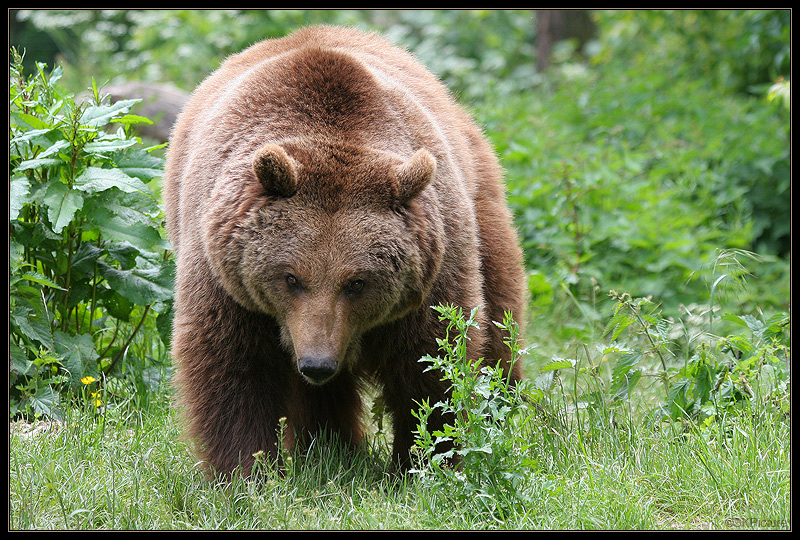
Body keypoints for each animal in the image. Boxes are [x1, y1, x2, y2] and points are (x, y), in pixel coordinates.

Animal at [162, 25, 524, 476]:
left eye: (357, 282)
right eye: (290, 277)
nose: (317, 363)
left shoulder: (431, 271)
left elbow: (432, 361)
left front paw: (424, 461)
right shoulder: (225, 274)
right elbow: (233, 366)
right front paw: (246, 471)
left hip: (480, 203)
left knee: (501, 320)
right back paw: (330, 449)